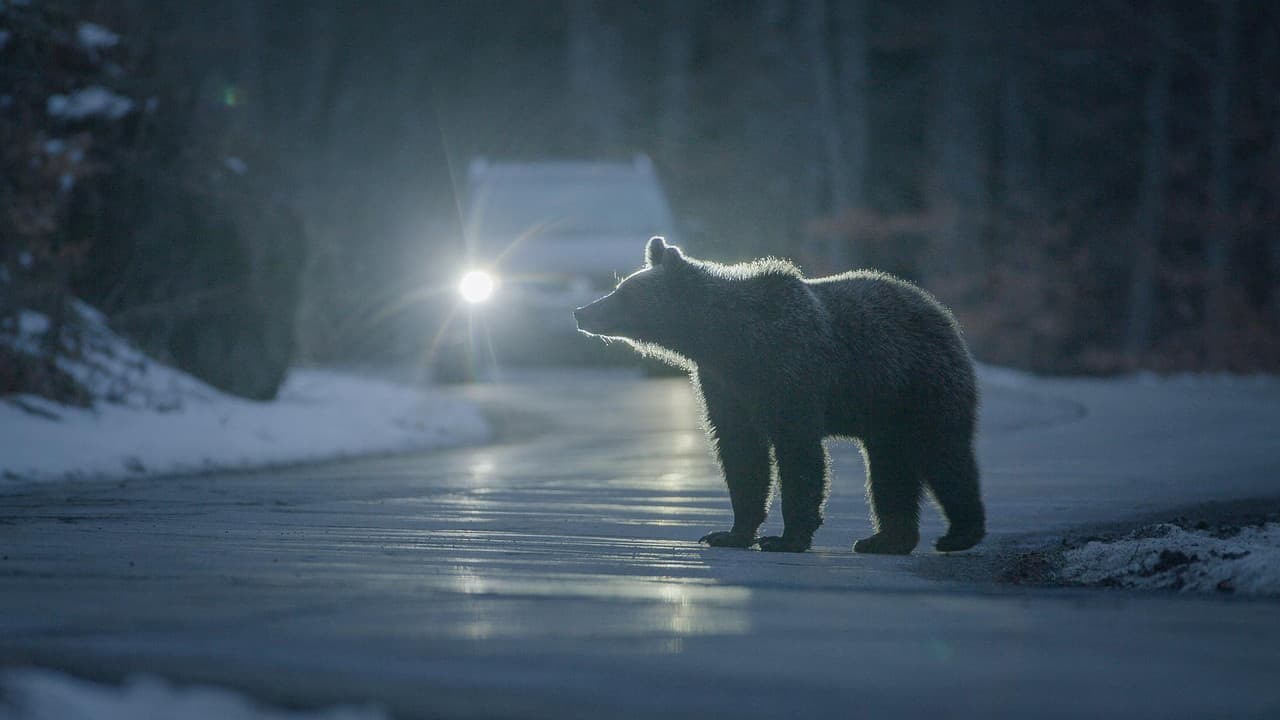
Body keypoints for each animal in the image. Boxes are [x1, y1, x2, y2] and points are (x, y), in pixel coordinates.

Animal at [574, 236, 984, 555]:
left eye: (624, 292)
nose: (582, 312)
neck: (725, 340)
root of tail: (941, 312)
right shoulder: (724, 384)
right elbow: (740, 452)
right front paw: (730, 532)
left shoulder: (789, 370)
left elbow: (797, 451)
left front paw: (786, 537)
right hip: (885, 413)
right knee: (889, 469)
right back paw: (885, 540)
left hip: (920, 385)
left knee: (943, 454)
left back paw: (958, 534)